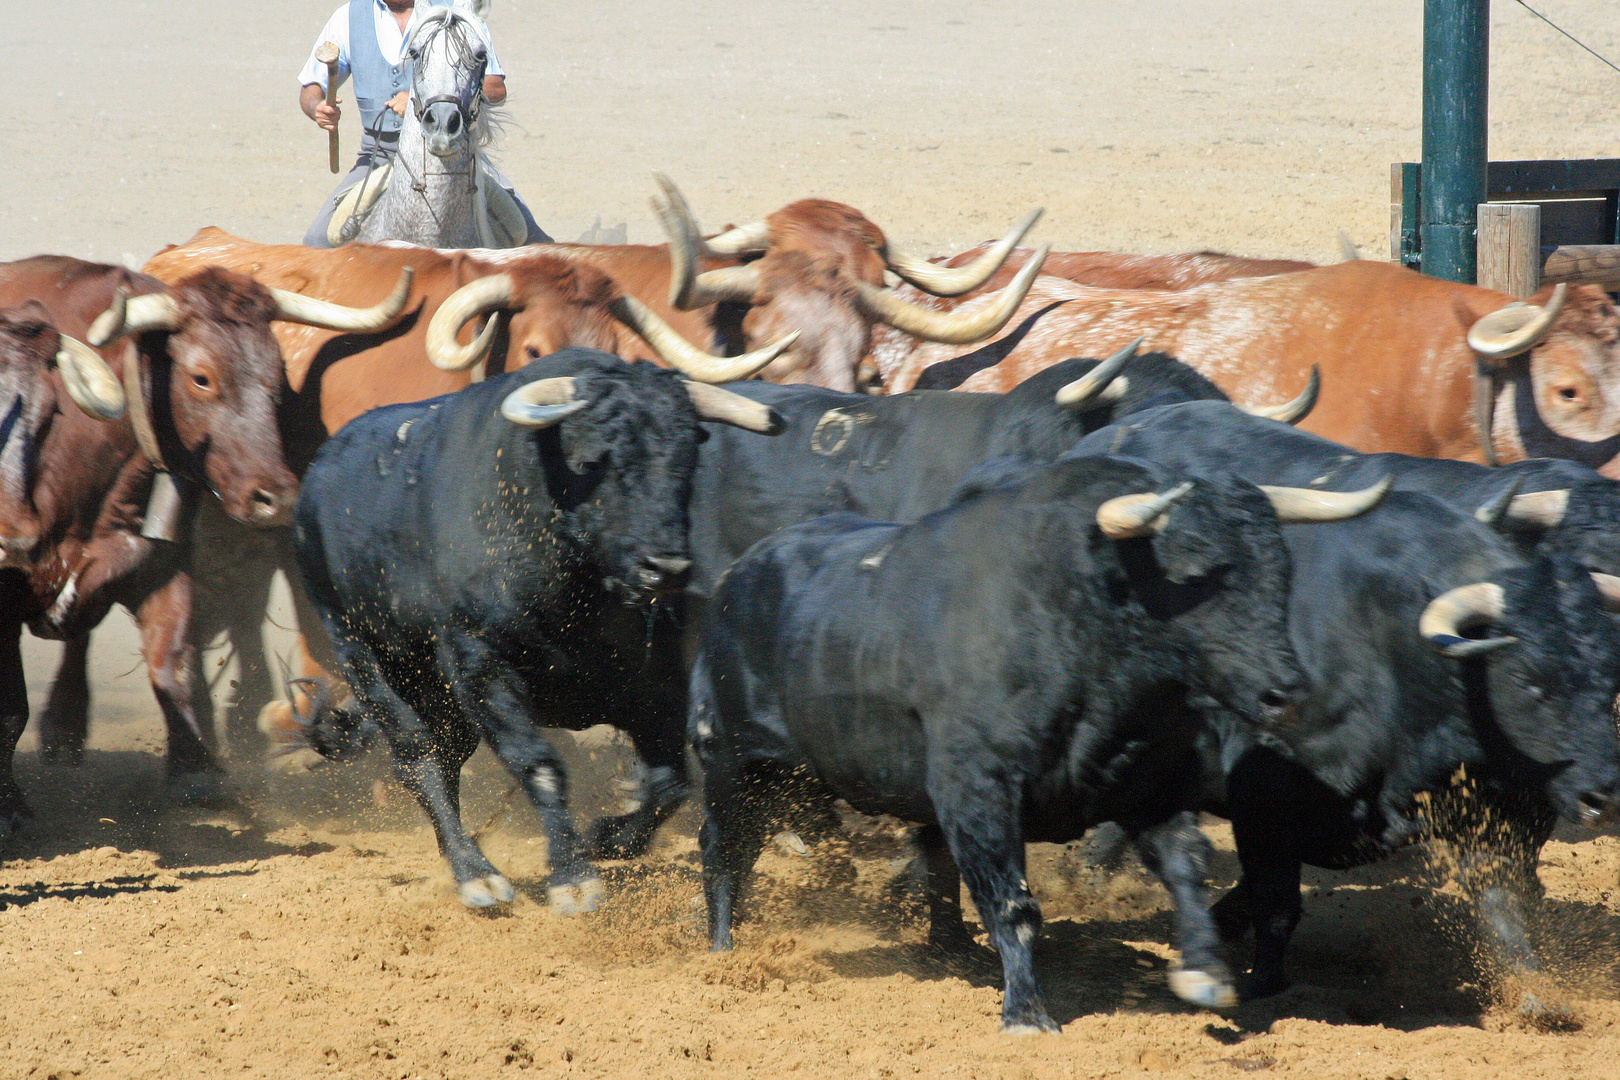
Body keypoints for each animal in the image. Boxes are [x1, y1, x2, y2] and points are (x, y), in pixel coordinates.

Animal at [1, 255, 417, 809]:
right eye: (201, 378)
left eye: (277, 375)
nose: (276, 498)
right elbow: (10, 705)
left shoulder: (162, 564)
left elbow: (173, 663)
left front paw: (196, 771)